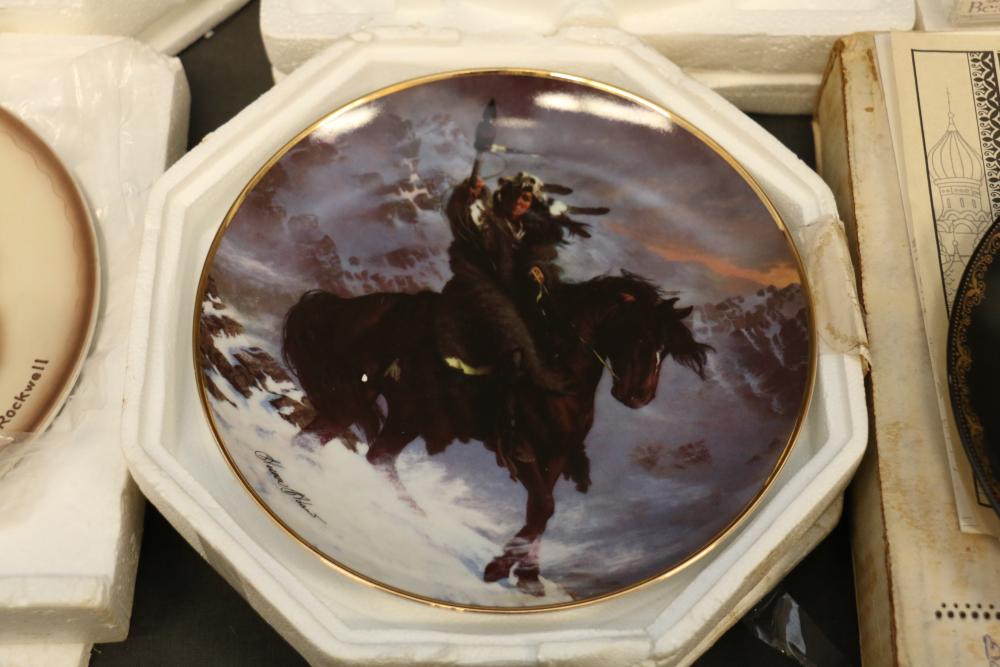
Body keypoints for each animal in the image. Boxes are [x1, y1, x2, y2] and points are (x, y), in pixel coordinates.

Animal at [282, 271, 712, 594]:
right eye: (639, 336)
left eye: (664, 348)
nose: (640, 396)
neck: (557, 374)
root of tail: (351, 308)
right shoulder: (522, 449)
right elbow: (543, 507)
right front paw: (499, 568)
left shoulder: (555, 453)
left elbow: (540, 513)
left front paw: (527, 576)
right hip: (361, 399)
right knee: (324, 442)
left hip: (403, 414)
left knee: (369, 455)